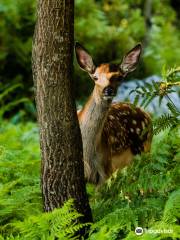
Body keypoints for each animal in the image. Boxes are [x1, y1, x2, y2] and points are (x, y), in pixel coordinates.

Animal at [75, 42, 153, 184]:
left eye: (119, 77)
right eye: (95, 77)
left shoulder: (106, 169)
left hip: (145, 148)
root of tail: (147, 114)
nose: (108, 90)